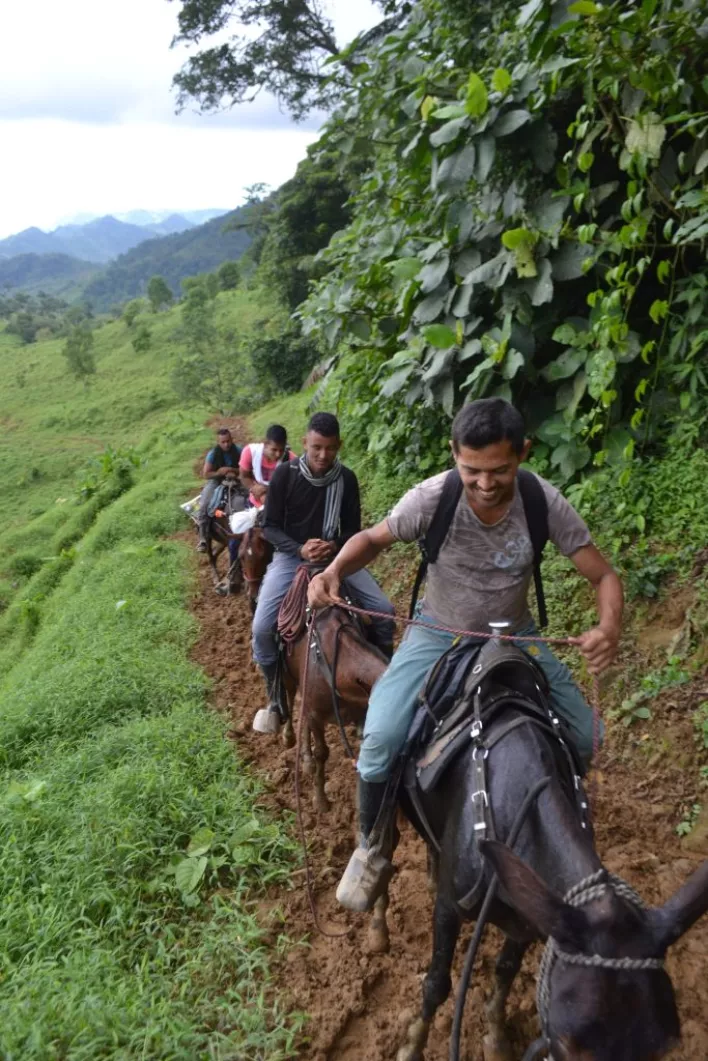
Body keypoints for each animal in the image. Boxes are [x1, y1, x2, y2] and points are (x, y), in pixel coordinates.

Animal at [392, 632, 708, 1056]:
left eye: (666, 1048)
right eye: (565, 1043)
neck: (513, 805)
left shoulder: (531, 918)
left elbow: (505, 972)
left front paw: (496, 1037)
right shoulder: (450, 906)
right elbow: (436, 983)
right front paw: (412, 1045)